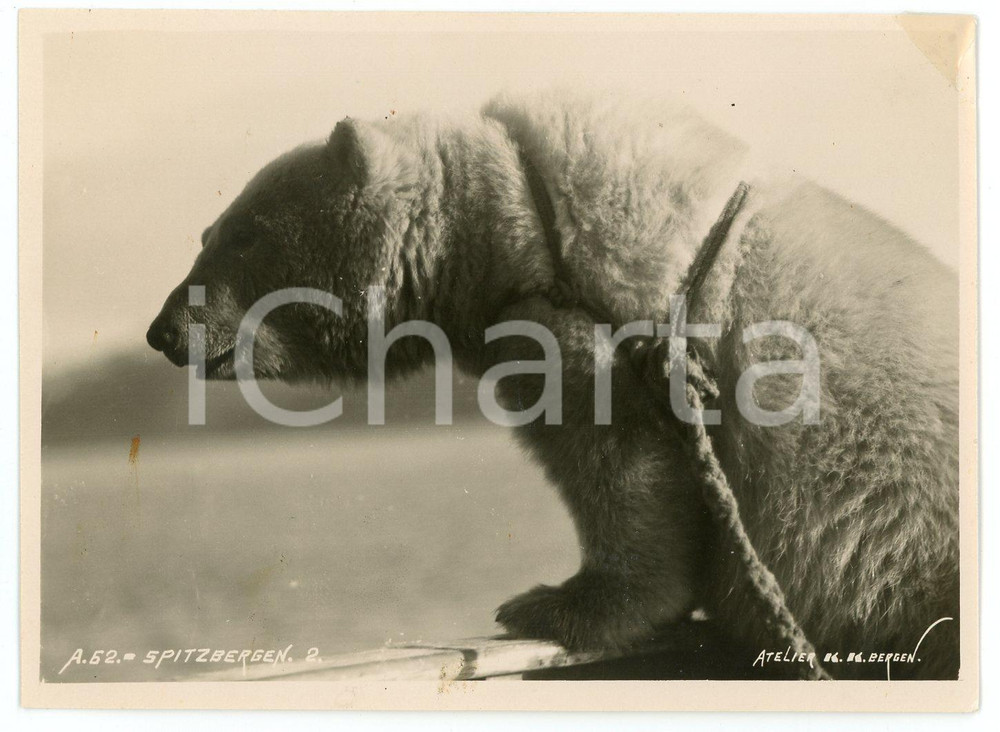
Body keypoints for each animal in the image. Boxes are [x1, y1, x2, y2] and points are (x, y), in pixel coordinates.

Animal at [147, 90, 960, 680]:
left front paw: (551, 604)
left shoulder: (586, 325)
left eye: (240, 232)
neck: (511, 207)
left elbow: (618, 458)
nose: (164, 330)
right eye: (208, 232)